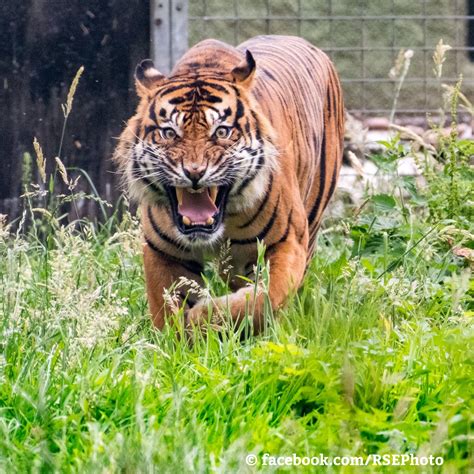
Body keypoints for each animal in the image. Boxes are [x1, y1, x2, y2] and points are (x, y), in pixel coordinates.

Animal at [115, 34, 344, 334]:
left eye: (221, 132)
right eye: (170, 133)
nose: (195, 172)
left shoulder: (287, 242)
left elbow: (261, 299)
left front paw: (203, 319)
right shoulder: (162, 251)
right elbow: (166, 309)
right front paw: (178, 336)